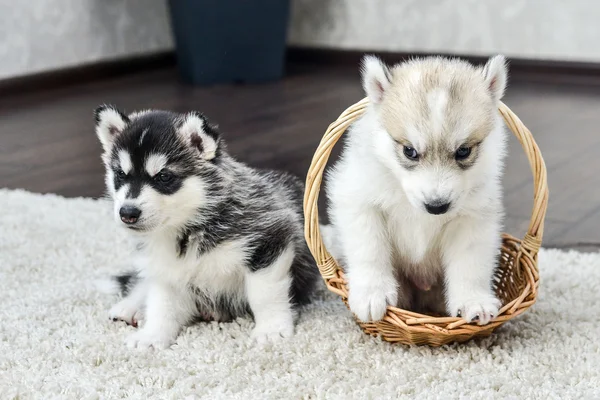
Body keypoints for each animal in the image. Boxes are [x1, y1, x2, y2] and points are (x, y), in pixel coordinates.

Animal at [94, 106, 318, 346]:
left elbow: (264, 293)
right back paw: (129, 307)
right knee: (142, 283)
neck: (188, 229)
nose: (127, 213)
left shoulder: (270, 237)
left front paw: (271, 328)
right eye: (120, 174)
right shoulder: (166, 269)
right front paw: (152, 334)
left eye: (164, 176)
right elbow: (161, 304)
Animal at [326, 54, 508, 324]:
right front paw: (371, 293)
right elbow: (369, 249)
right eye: (409, 151)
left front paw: (473, 300)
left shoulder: (473, 218)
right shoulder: (358, 199)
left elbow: (470, 263)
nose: (437, 206)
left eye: (463, 151)